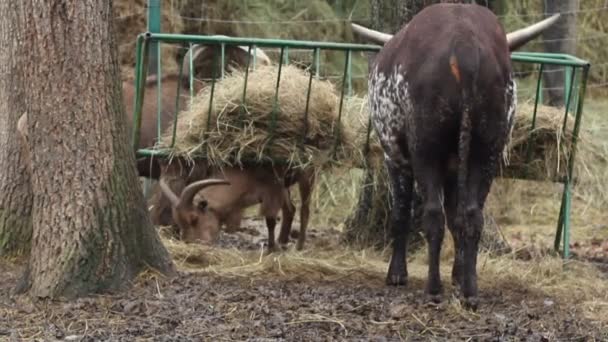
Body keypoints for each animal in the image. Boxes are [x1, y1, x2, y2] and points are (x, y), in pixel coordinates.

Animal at [352, 2, 560, 308]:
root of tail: (465, 43)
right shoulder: (453, 168)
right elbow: (455, 217)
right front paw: (459, 274)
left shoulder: (395, 157)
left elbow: (401, 213)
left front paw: (397, 273)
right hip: (487, 151)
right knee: (471, 215)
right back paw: (470, 290)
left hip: (426, 150)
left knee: (432, 216)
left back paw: (433, 288)